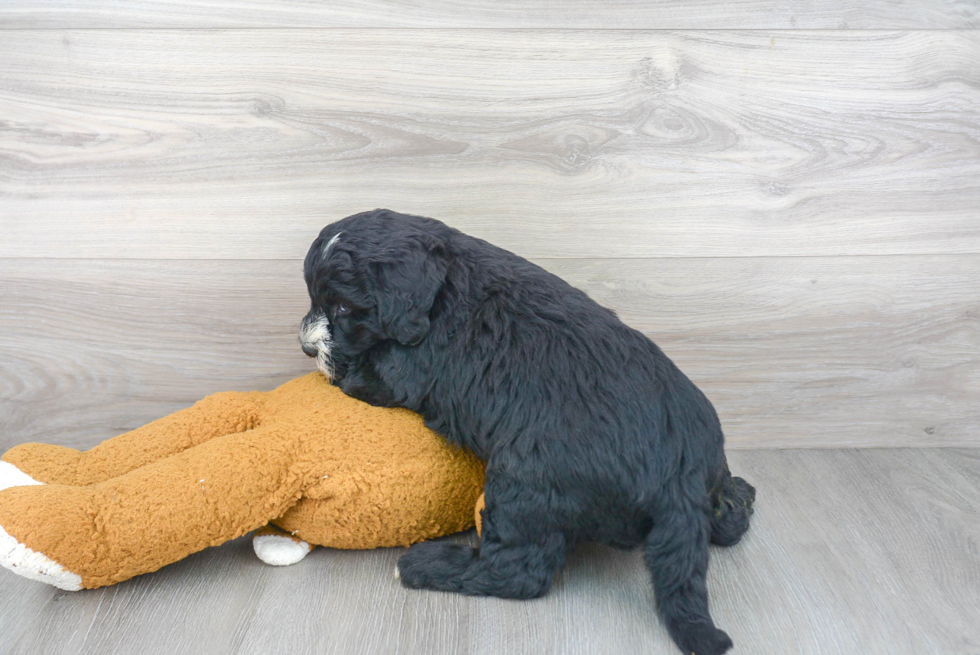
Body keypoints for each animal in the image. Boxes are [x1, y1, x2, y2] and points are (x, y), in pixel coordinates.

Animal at [302, 210, 756, 655]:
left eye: (343, 307)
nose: (306, 347)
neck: (445, 287)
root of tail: (679, 477)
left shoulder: (400, 370)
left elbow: (362, 375)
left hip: (524, 486)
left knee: (516, 572)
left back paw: (426, 565)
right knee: (724, 509)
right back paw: (740, 502)